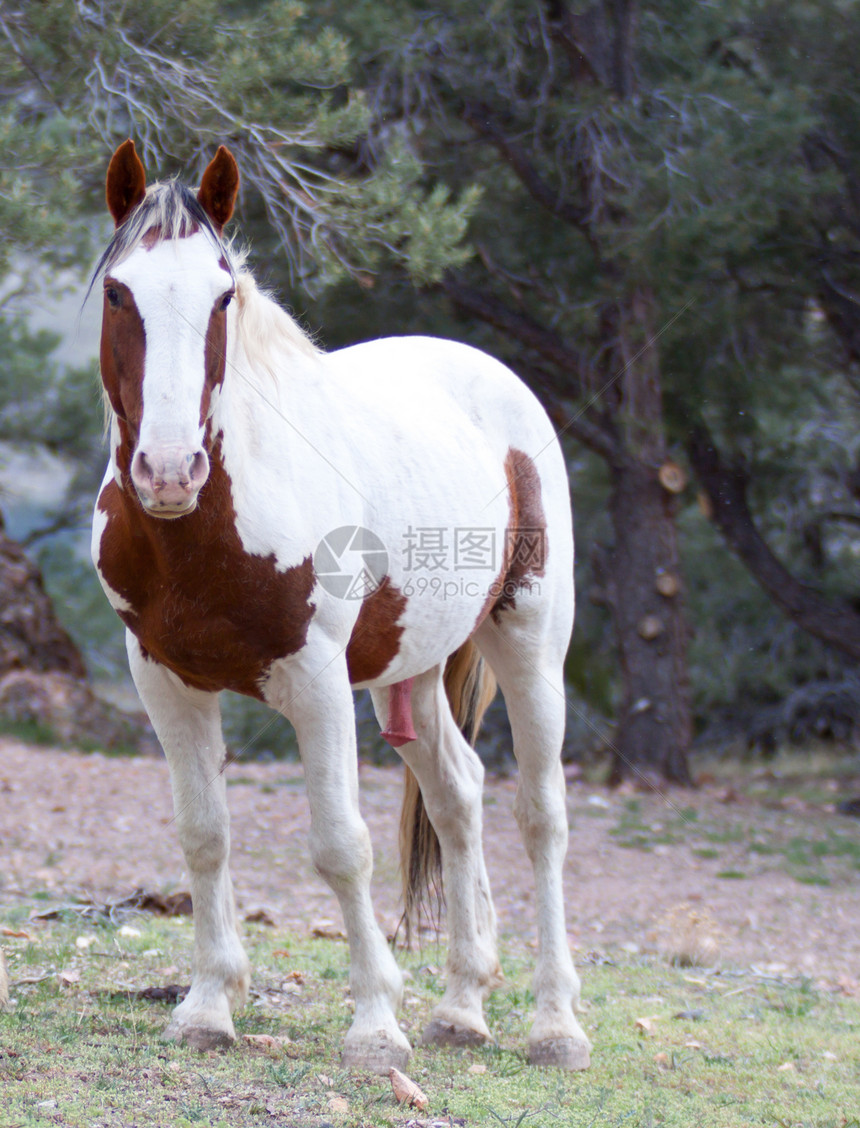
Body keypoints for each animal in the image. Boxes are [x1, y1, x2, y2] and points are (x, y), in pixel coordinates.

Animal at [91, 141, 591, 1073]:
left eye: (221, 295)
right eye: (118, 292)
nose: (169, 471)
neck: (206, 528)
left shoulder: (316, 682)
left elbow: (340, 845)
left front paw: (373, 1025)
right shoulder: (166, 682)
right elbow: (203, 833)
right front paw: (207, 1007)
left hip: (530, 641)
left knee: (540, 816)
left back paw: (555, 1026)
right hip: (414, 670)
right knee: (459, 797)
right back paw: (460, 1008)